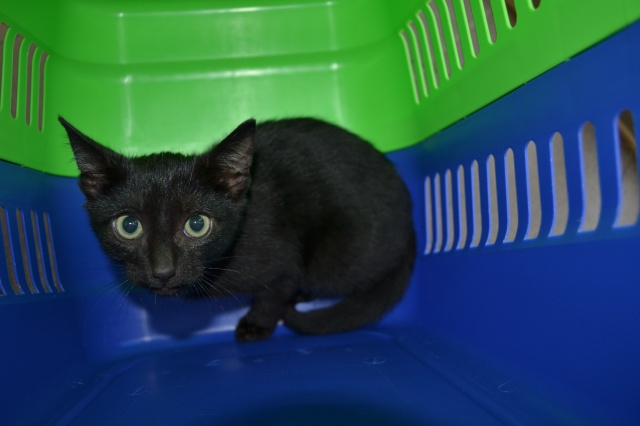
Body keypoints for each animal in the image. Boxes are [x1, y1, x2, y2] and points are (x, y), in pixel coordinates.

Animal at [59, 117, 416, 342]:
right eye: (129, 226)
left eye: (197, 224)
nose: (163, 271)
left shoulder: (281, 260)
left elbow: (274, 292)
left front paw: (256, 326)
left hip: (336, 259)